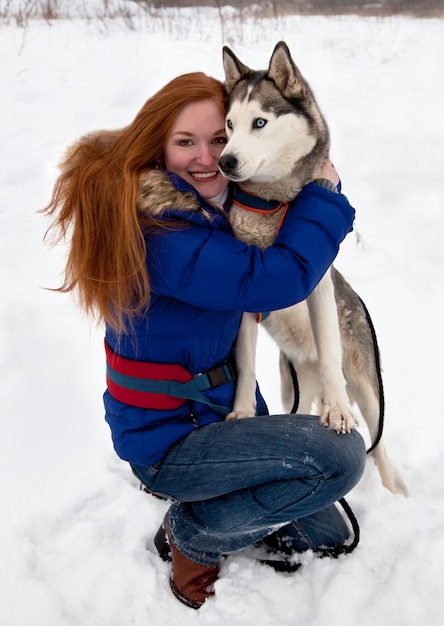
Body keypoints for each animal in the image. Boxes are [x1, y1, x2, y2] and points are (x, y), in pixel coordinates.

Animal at [220, 41, 408, 494]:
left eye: (259, 122)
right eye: (229, 125)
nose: (225, 162)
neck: (274, 205)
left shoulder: (318, 286)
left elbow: (327, 346)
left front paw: (337, 411)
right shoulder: (244, 302)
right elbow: (245, 361)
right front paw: (242, 413)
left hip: (365, 384)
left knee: (378, 444)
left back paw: (392, 491)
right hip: (294, 383)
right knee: (303, 404)